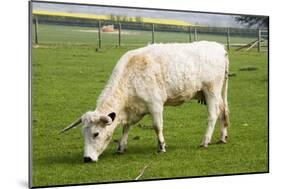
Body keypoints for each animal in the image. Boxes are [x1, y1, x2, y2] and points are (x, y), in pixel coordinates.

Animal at [60, 40, 229, 162]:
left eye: (96, 134)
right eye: (83, 134)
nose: (87, 158)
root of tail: (219, 47)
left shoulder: (155, 104)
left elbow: (157, 126)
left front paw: (161, 147)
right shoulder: (131, 110)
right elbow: (126, 127)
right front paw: (121, 146)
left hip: (211, 90)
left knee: (212, 115)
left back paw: (205, 141)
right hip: (215, 94)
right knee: (223, 112)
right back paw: (222, 138)